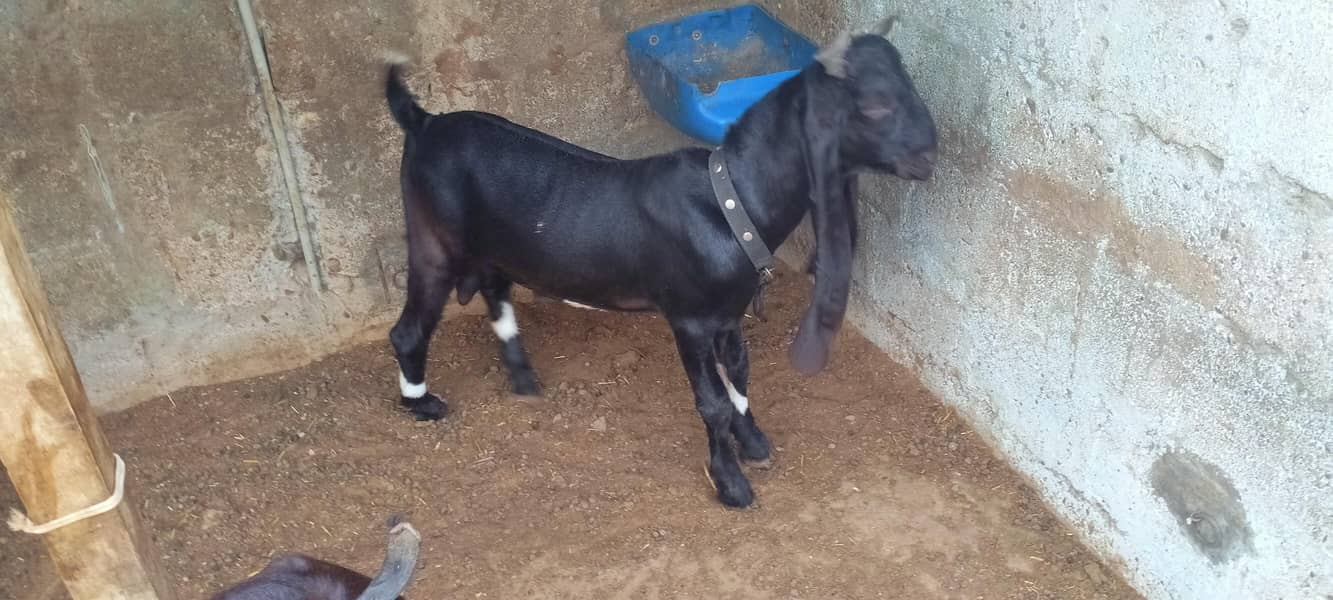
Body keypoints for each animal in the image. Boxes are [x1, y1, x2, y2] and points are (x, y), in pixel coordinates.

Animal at [383, 17, 937, 508]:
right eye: (876, 106)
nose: (930, 154)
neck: (730, 200)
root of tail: (425, 121)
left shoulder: (729, 313)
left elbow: (739, 374)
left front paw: (755, 443)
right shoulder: (689, 319)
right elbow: (712, 402)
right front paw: (731, 484)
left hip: (494, 242)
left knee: (496, 288)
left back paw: (523, 379)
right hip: (433, 239)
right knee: (410, 327)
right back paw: (422, 401)